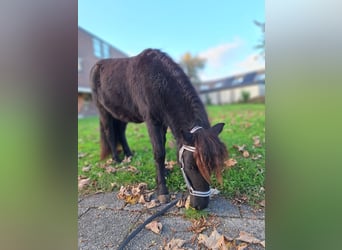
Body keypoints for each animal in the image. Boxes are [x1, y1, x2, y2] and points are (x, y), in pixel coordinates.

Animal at [89, 48, 228, 209]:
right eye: (191, 166)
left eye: (214, 165)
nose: (200, 205)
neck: (156, 79)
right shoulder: (152, 121)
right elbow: (159, 152)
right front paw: (162, 191)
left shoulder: (164, 122)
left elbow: (162, 148)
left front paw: (163, 172)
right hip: (104, 111)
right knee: (110, 133)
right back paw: (117, 159)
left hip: (121, 114)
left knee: (121, 133)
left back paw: (129, 155)